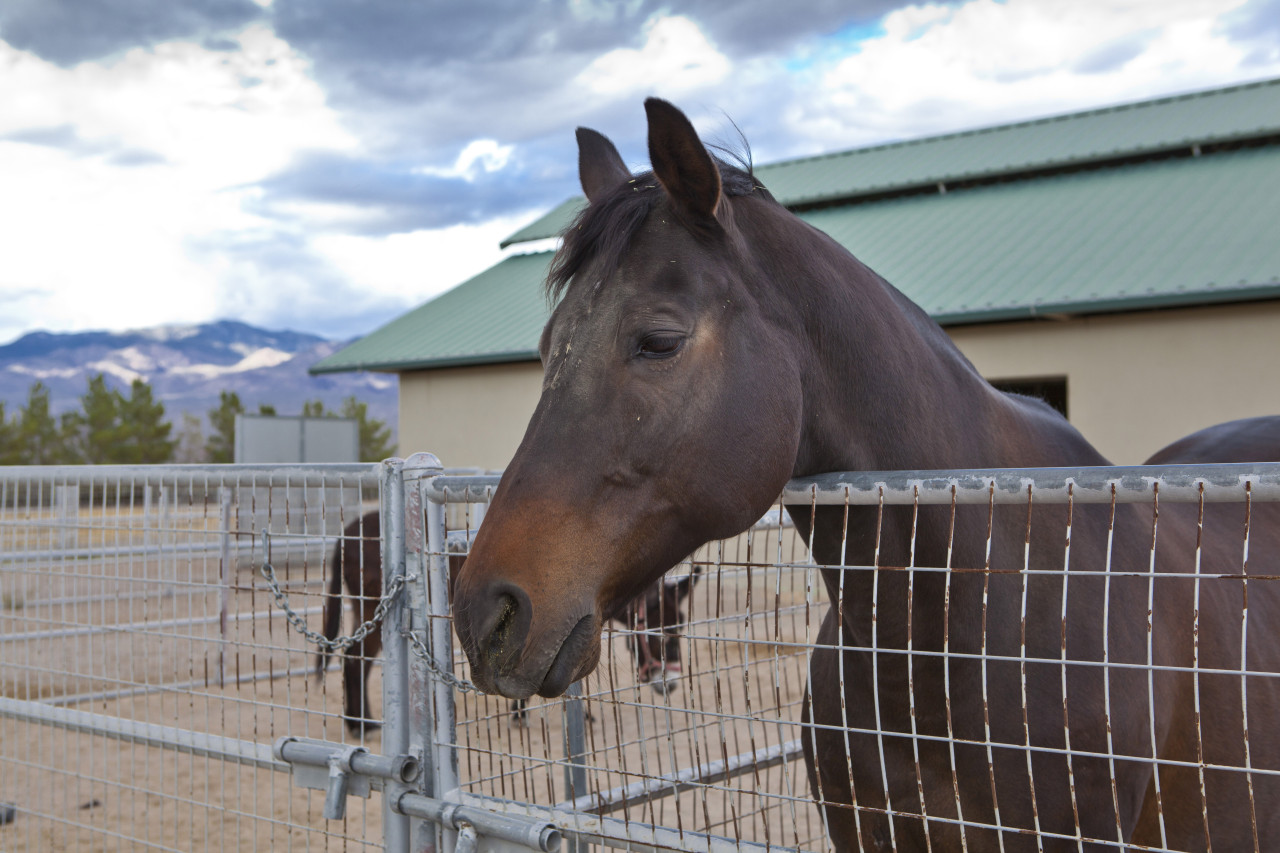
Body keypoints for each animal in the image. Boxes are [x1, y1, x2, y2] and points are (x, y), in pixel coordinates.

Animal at [318, 507, 701, 732]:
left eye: (681, 627)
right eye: (663, 631)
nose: (670, 684)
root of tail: (345, 534)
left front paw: (521, 712)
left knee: (352, 658)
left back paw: (357, 721)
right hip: (373, 608)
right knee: (355, 659)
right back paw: (363, 725)